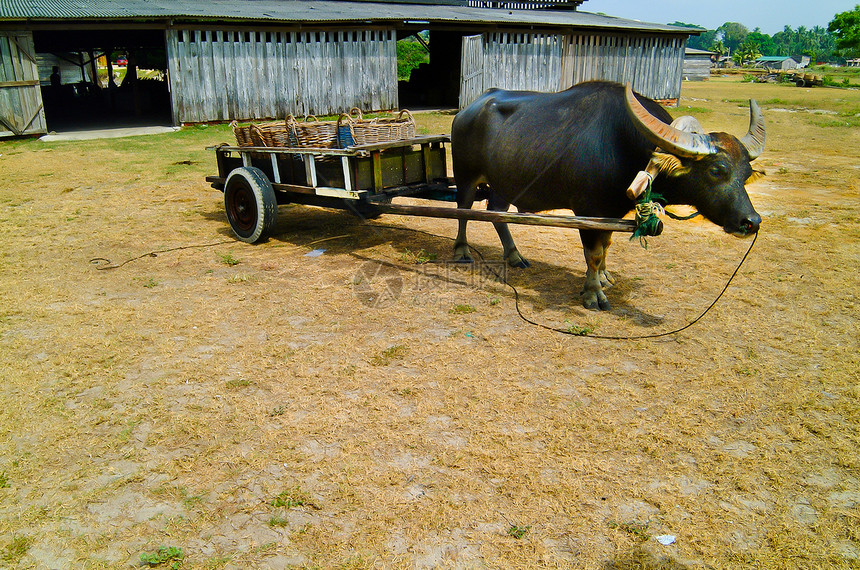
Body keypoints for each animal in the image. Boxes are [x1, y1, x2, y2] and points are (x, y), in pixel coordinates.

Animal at [450, 79, 764, 308]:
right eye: (717, 170)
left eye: (746, 174)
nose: (751, 222)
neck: (623, 144)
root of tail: (467, 109)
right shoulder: (587, 211)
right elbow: (594, 252)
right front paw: (593, 293)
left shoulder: (611, 211)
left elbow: (607, 245)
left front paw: (603, 277)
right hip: (466, 175)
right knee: (462, 210)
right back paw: (462, 251)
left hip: (505, 182)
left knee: (496, 212)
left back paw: (515, 256)